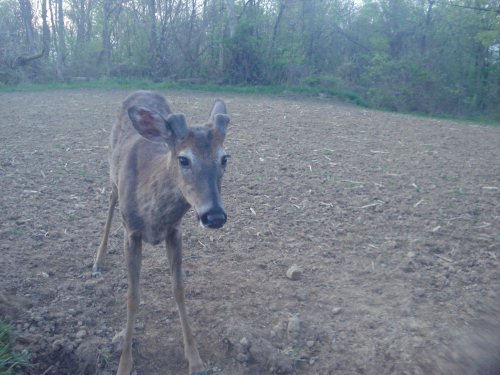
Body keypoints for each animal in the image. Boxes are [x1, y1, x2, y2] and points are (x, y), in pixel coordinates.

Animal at [92, 91, 230, 375]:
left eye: (225, 158)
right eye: (183, 158)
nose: (214, 216)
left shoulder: (174, 231)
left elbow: (178, 289)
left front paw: (195, 360)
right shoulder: (131, 233)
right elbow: (133, 296)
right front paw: (124, 363)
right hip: (112, 172)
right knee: (110, 200)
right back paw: (98, 260)